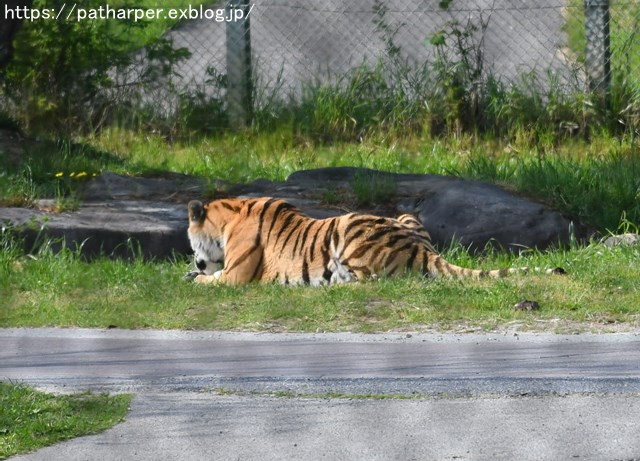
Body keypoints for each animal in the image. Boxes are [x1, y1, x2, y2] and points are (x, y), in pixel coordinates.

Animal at [185, 197, 524, 286]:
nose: (195, 262)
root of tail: (419, 247)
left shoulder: (235, 275)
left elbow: (212, 280)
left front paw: (194, 278)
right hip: (404, 216)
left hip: (346, 228)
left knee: (369, 280)